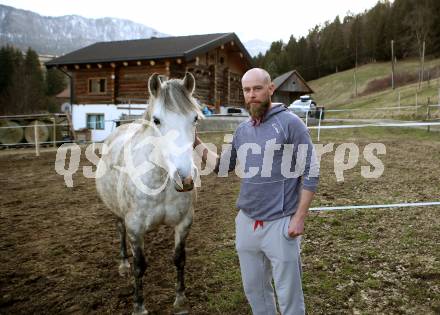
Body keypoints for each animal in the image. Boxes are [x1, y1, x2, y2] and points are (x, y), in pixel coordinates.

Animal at [95, 73, 202, 314]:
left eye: (195, 119)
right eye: (157, 120)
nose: (185, 179)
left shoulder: (184, 222)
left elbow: (179, 259)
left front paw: (180, 300)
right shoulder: (135, 227)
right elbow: (139, 266)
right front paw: (139, 306)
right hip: (117, 212)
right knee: (120, 232)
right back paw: (123, 263)